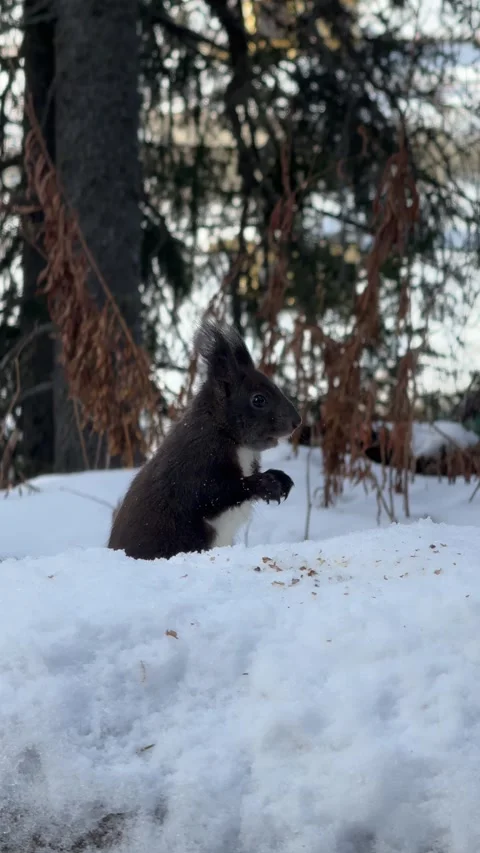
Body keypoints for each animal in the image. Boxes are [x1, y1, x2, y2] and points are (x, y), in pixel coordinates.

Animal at [108, 319, 301, 560]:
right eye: (258, 400)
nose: (297, 422)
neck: (232, 440)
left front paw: (281, 479)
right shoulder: (195, 463)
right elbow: (213, 493)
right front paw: (265, 483)